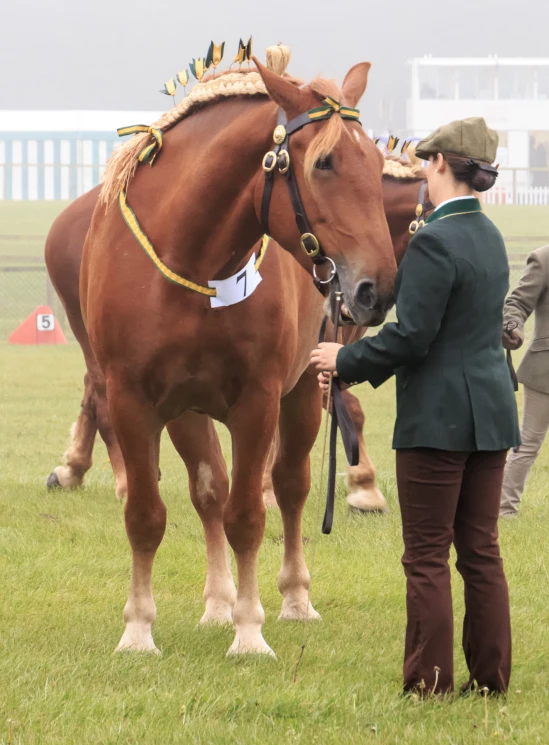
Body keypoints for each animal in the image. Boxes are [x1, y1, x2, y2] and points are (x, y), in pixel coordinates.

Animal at [53, 59, 400, 656]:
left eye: (378, 165)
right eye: (325, 162)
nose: (377, 288)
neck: (191, 259)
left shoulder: (257, 401)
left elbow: (249, 515)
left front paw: (250, 630)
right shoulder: (134, 399)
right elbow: (148, 514)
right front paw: (139, 629)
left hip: (304, 390)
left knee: (290, 486)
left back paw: (292, 598)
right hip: (188, 410)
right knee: (210, 491)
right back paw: (217, 603)